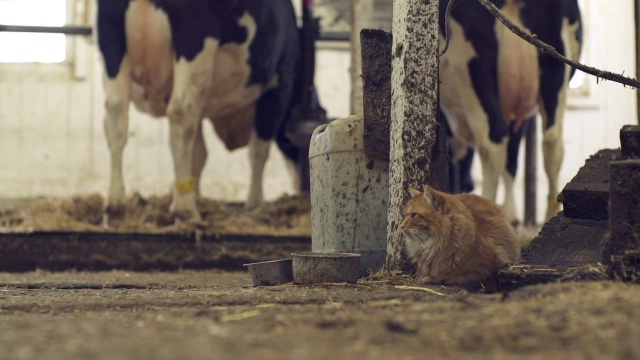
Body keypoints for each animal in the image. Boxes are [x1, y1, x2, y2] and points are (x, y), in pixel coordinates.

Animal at [96, 0, 302, 225]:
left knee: (116, 114)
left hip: (110, 36)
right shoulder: (280, 82)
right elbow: (259, 150)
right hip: (195, 37)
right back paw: (185, 209)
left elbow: (198, 153)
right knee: (180, 112)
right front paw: (255, 205)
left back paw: (115, 207)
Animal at [438, 0, 584, 222]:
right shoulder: (519, 115)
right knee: (552, 141)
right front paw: (511, 215)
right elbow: (511, 160)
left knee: (492, 142)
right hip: (555, 62)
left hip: (469, 62)